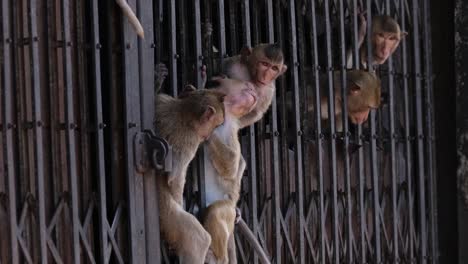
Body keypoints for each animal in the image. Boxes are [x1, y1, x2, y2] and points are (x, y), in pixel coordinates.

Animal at [154, 87, 226, 262]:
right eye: (216, 124)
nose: (208, 135)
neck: (183, 112)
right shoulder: (190, 142)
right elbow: (174, 180)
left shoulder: (162, 99)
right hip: (164, 211)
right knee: (198, 239)